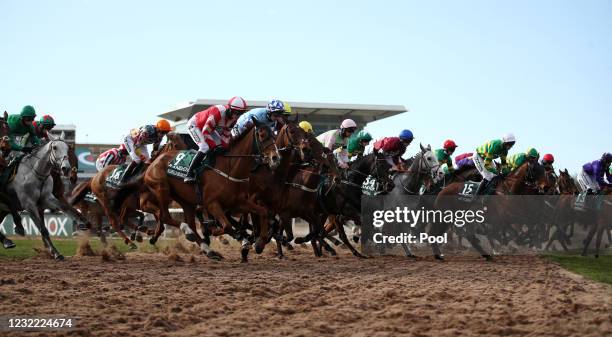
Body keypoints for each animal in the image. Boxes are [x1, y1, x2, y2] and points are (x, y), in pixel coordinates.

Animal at [145, 119, 278, 256]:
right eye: (262, 135)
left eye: (274, 136)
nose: (275, 158)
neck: (230, 169)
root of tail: (154, 162)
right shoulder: (211, 204)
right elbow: (226, 226)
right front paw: (237, 237)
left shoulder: (238, 202)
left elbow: (263, 212)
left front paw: (259, 243)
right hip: (161, 189)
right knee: (165, 217)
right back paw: (188, 231)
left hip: (185, 201)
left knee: (190, 224)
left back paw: (207, 249)